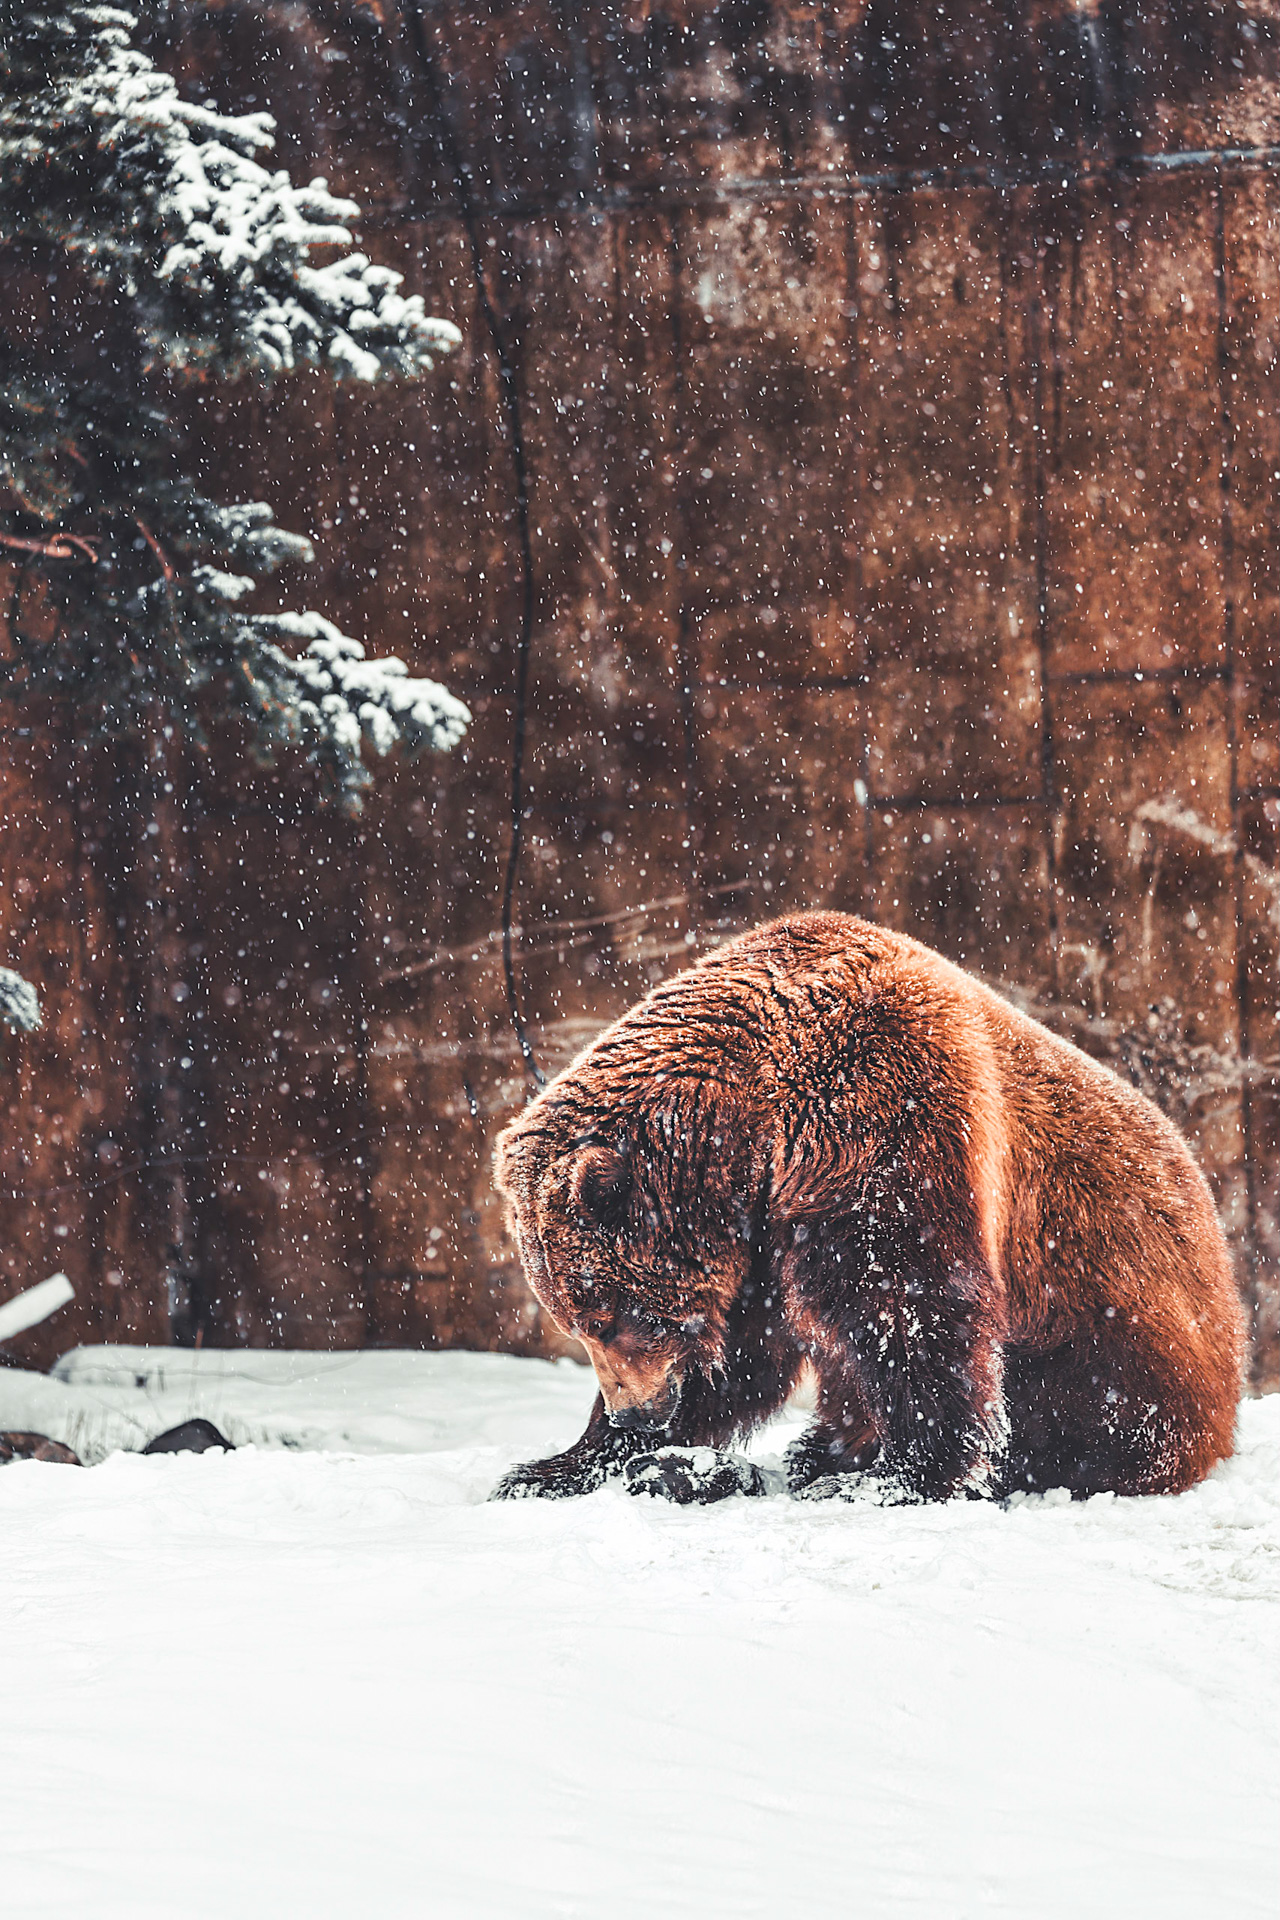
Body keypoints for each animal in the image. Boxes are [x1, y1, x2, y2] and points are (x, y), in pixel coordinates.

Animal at [487, 906, 1243, 1505]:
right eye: (576, 1323)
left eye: (604, 1315)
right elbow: (745, 1347)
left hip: (1110, 1324)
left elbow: (903, 1296)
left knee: (1088, 1417)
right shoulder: (758, 1226)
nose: (635, 1415)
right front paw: (553, 1467)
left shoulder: (876, 1104)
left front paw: (903, 1475)